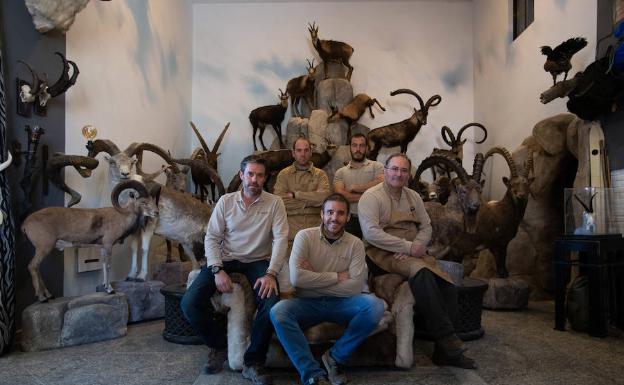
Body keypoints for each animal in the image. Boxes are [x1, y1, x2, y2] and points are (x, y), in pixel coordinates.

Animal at [22, 178, 157, 302]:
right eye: (143, 202)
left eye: (152, 200)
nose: (156, 212)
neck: (121, 217)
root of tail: (25, 224)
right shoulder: (108, 244)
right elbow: (108, 265)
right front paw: (110, 290)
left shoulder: (102, 247)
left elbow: (103, 264)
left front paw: (104, 286)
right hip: (44, 247)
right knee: (33, 266)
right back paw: (41, 298)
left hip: (43, 249)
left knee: (37, 268)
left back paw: (49, 295)